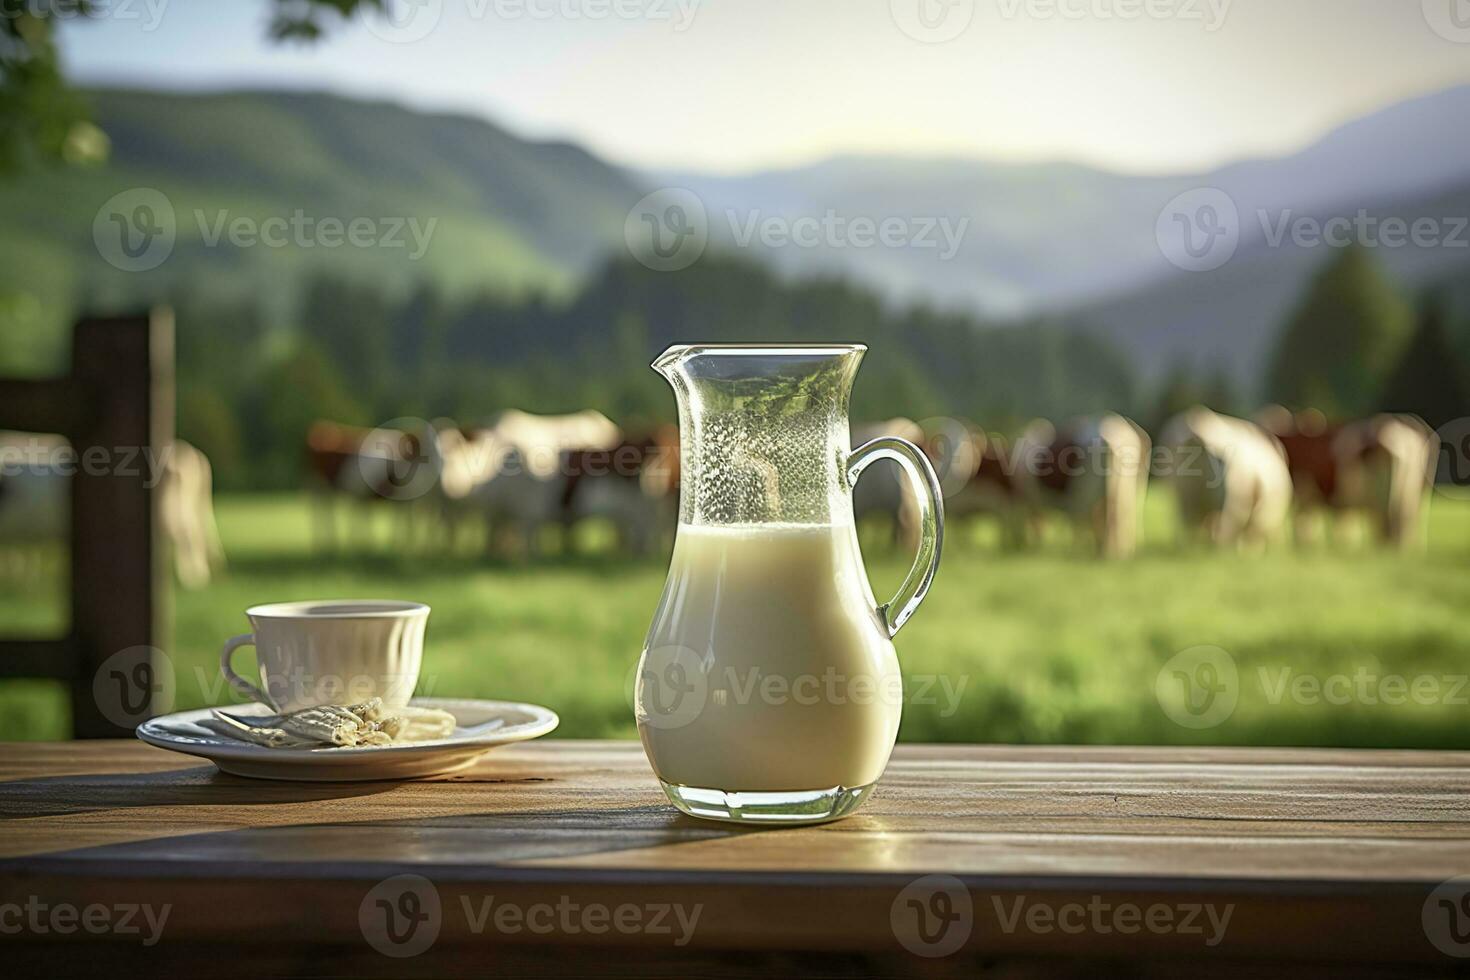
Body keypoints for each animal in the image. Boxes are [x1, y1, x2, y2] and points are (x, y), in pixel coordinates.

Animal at [1258, 402, 1440, 549]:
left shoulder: (1304, 490)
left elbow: (1303, 525)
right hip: (1415, 492)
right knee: (1406, 519)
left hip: (1389, 494)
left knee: (1391, 519)